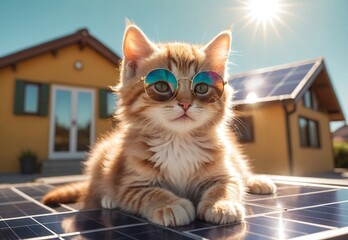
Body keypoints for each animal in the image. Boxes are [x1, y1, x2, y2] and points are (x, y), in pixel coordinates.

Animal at [43, 23, 276, 227]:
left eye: (201, 87)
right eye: (162, 86)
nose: (185, 103)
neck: (178, 141)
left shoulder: (224, 172)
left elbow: (228, 184)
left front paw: (222, 204)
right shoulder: (130, 185)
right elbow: (151, 193)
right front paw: (169, 205)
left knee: (242, 171)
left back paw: (257, 182)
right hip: (100, 156)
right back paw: (109, 199)